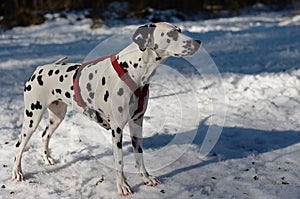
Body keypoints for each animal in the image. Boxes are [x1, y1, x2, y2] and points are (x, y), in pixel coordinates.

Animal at [12, 22, 199, 196]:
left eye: (179, 30)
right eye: (171, 34)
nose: (198, 41)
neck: (132, 71)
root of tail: (40, 69)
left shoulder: (136, 124)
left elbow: (139, 155)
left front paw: (146, 178)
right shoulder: (117, 130)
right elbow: (119, 162)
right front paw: (122, 186)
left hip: (57, 116)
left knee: (45, 136)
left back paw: (48, 159)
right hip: (32, 118)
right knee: (19, 145)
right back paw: (17, 172)